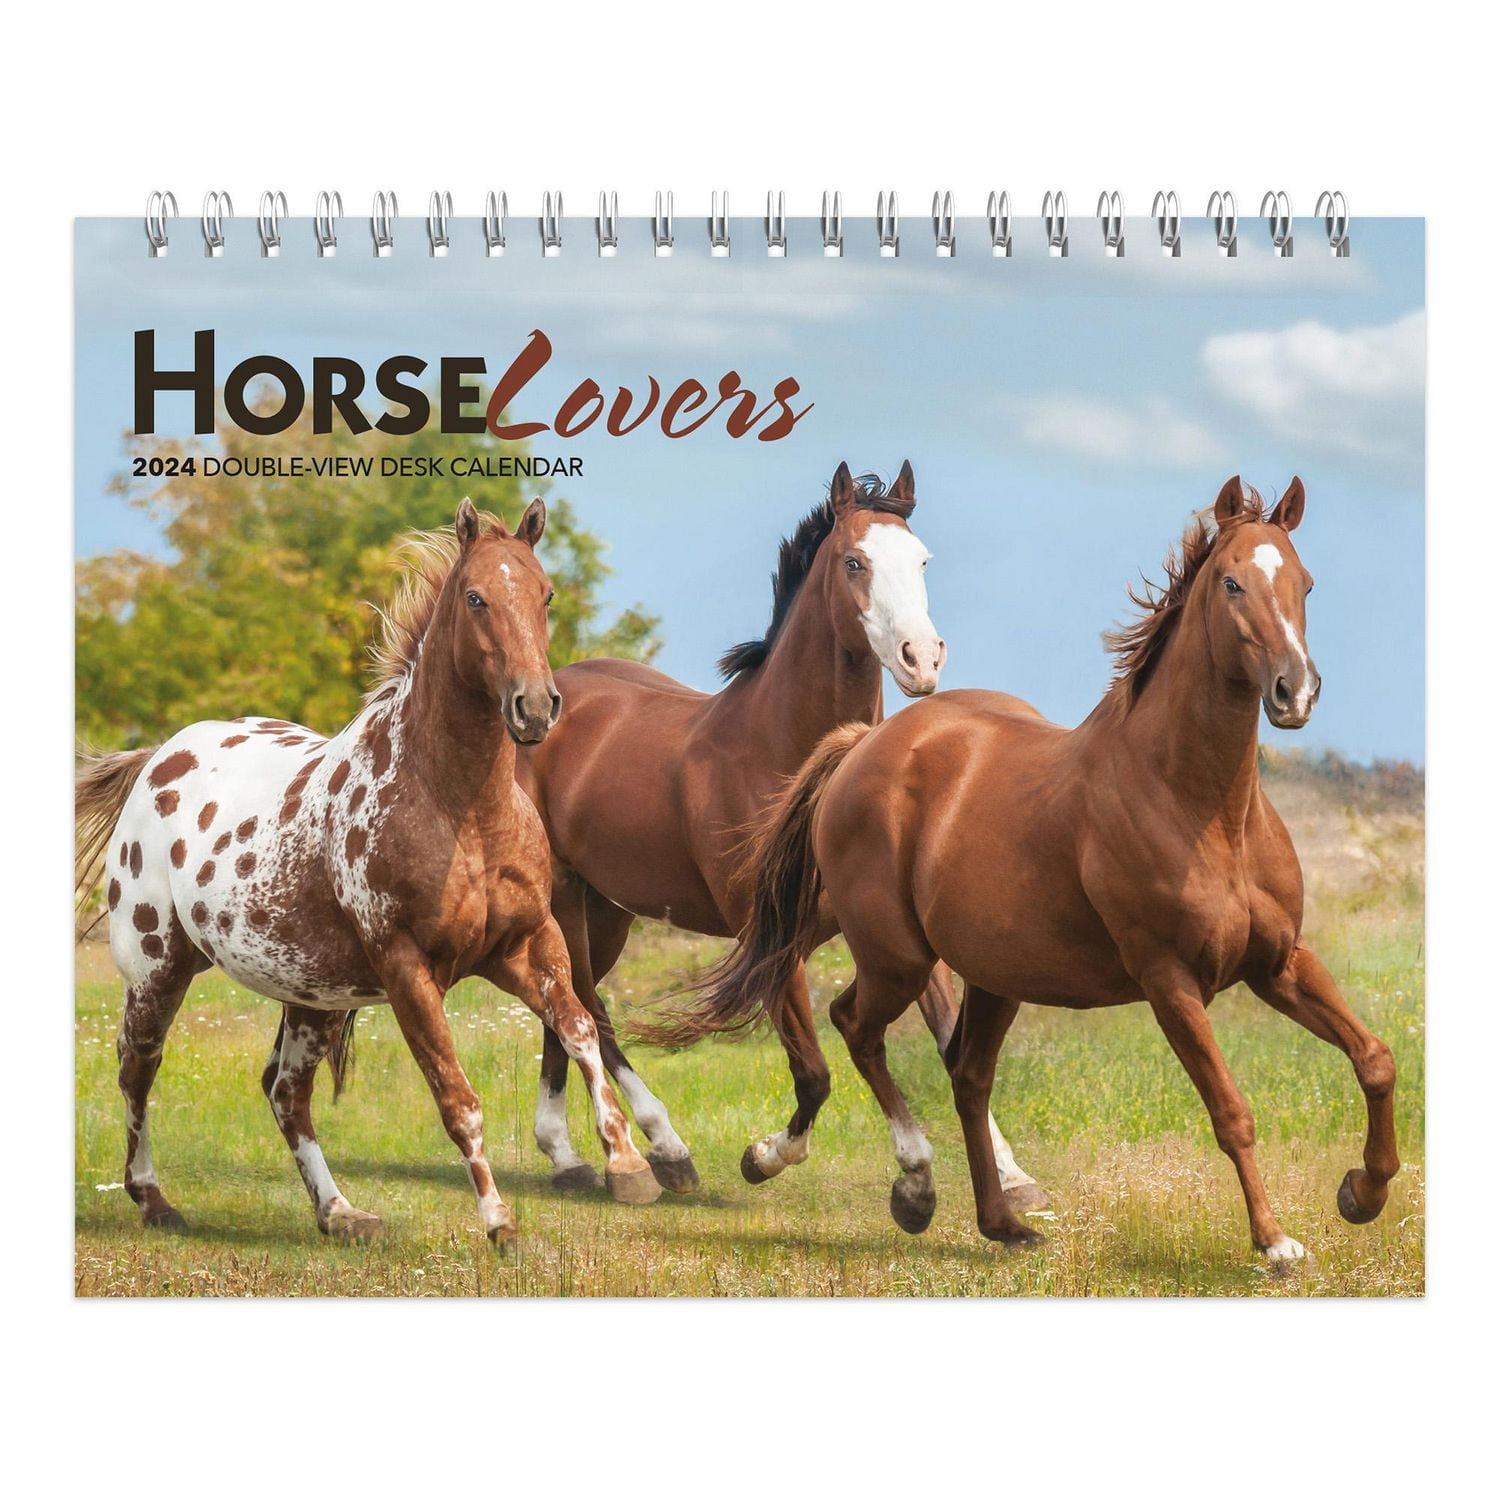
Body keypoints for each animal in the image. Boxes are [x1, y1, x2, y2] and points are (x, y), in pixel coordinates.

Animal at [74, 499, 662, 1246]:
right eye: (475, 598)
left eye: (545, 594)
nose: (534, 707)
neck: (459, 811)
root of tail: (155, 759)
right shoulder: (408, 970)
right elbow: (457, 1097)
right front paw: (499, 1221)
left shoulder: (528, 945)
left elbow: (579, 1031)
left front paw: (629, 1166)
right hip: (157, 970)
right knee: (137, 1071)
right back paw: (154, 1200)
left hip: (312, 995)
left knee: (284, 1091)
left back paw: (339, 1212)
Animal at [517, 461, 1047, 1209]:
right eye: (854, 562)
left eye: (921, 560)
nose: (922, 659)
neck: (784, 757)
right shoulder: (773, 942)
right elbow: (815, 1075)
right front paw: (765, 1157)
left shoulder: (898, 935)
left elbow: (949, 1044)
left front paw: (1014, 1177)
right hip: (563, 896)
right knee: (587, 1006)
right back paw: (660, 1154)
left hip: (609, 909)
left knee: (560, 1007)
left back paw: (567, 1157)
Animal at [669, 476, 1399, 1262]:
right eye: (1232, 582)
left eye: (1305, 582)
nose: (1296, 692)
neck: (1199, 807)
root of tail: (863, 744)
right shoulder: (1169, 981)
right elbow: (1231, 1111)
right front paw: (1275, 1244)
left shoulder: (1280, 962)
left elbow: (1375, 1058)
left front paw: (1362, 1194)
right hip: (898, 958)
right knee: (853, 1025)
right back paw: (894, 1184)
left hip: (995, 974)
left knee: (967, 1074)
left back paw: (1004, 1222)